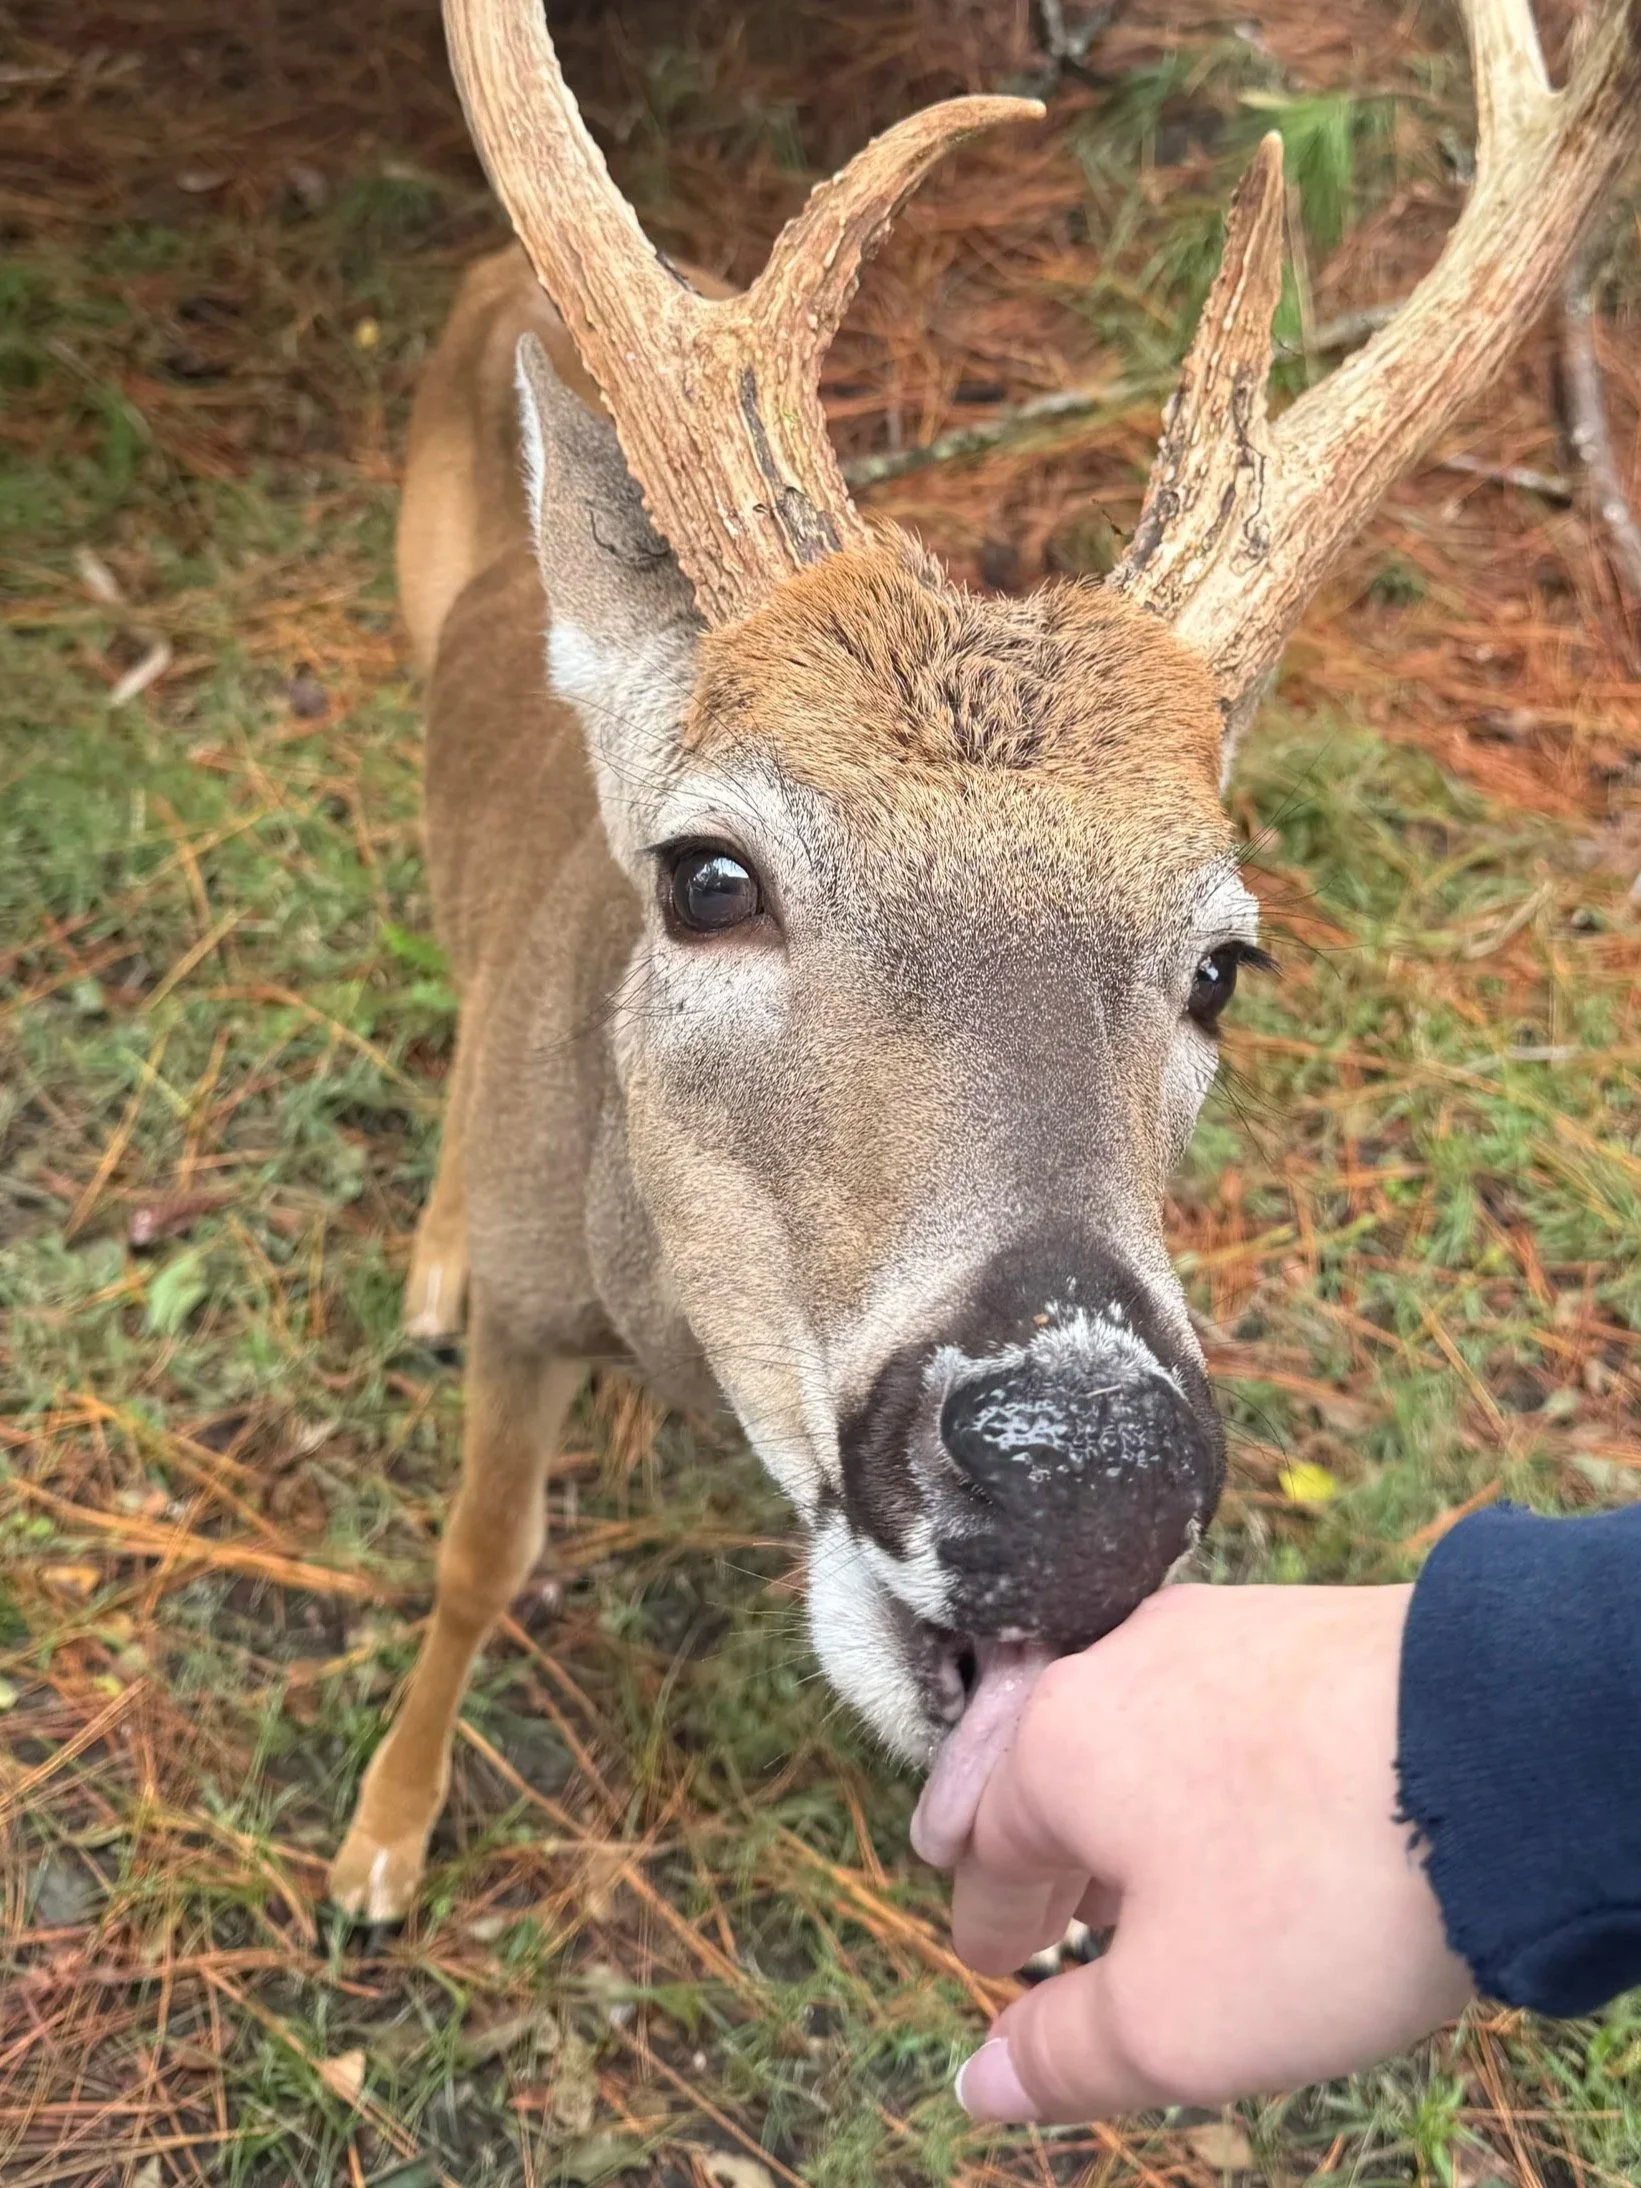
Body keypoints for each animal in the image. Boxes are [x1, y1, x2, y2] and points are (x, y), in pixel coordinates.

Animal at [329, 0, 1641, 1923]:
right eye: (708, 876)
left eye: (1222, 963)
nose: (1086, 1479)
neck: (659, 1326)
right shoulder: (534, 1303)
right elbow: (477, 1557)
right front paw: (381, 1837)